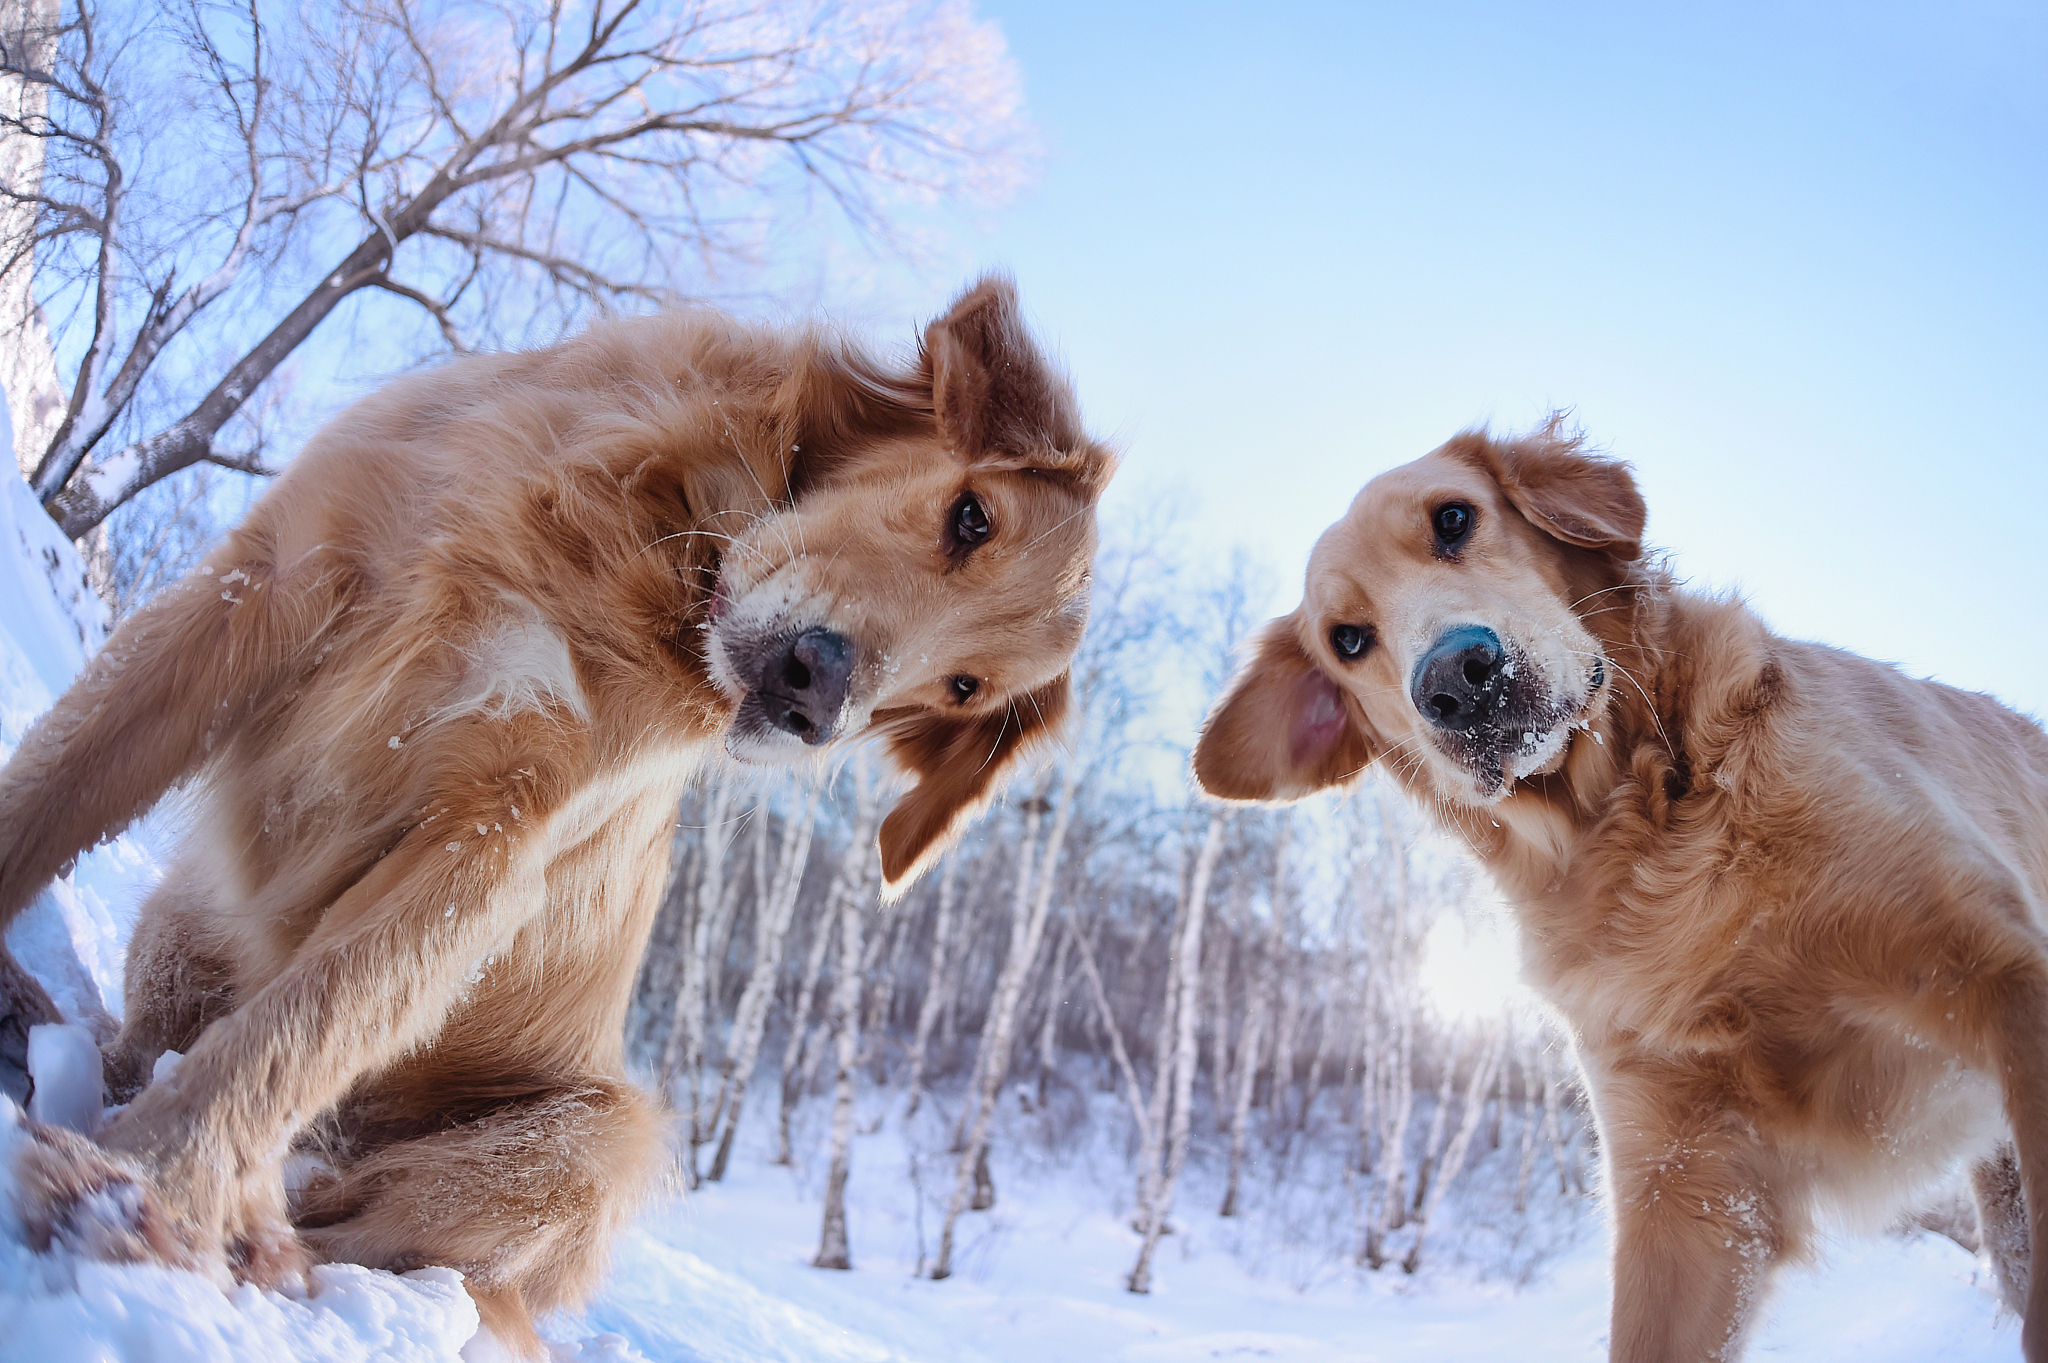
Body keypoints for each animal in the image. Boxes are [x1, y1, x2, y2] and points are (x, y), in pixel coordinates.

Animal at [0, 276, 1114, 1350]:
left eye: (963, 688)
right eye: (970, 517)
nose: (815, 695)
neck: (650, 544)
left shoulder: (491, 839)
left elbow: (300, 1027)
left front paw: (132, 1192)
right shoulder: (262, 584)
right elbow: (49, 795)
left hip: (600, 1137)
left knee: (354, 1232)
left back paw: (255, 1226)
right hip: (181, 931)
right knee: (140, 1047)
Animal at [1196, 425, 2048, 1358]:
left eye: (1453, 518)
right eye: (1348, 639)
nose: (1455, 680)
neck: (1641, 832)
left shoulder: (2004, 972)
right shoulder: (1685, 1187)